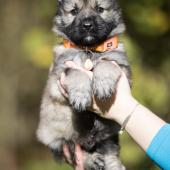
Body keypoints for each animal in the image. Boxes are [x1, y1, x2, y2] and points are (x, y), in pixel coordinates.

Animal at [36, 0, 130, 169]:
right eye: (74, 11)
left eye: (100, 9)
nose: (87, 25)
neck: (89, 49)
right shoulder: (57, 80)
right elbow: (76, 72)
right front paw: (80, 96)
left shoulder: (124, 69)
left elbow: (106, 62)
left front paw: (103, 84)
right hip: (61, 139)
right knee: (75, 149)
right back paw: (91, 160)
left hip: (108, 135)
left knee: (110, 151)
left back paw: (114, 165)